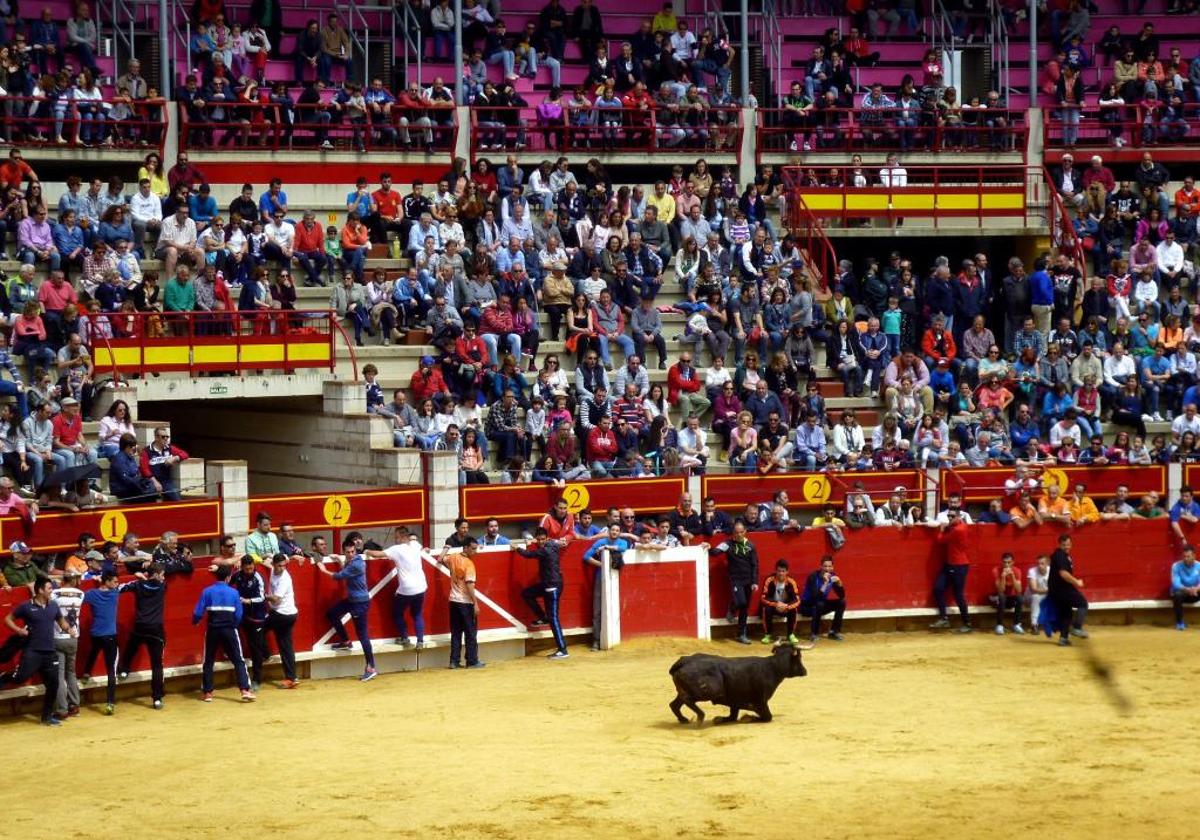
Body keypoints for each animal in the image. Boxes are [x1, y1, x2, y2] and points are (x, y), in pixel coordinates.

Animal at [667, 643, 806, 720]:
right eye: (799, 657)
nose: (805, 671)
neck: (772, 667)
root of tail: (684, 661)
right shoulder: (762, 699)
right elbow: (768, 716)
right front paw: (749, 716)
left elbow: (733, 715)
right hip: (709, 691)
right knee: (687, 700)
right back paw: (700, 717)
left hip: (684, 690)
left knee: (674, 704)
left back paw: (684, 719)